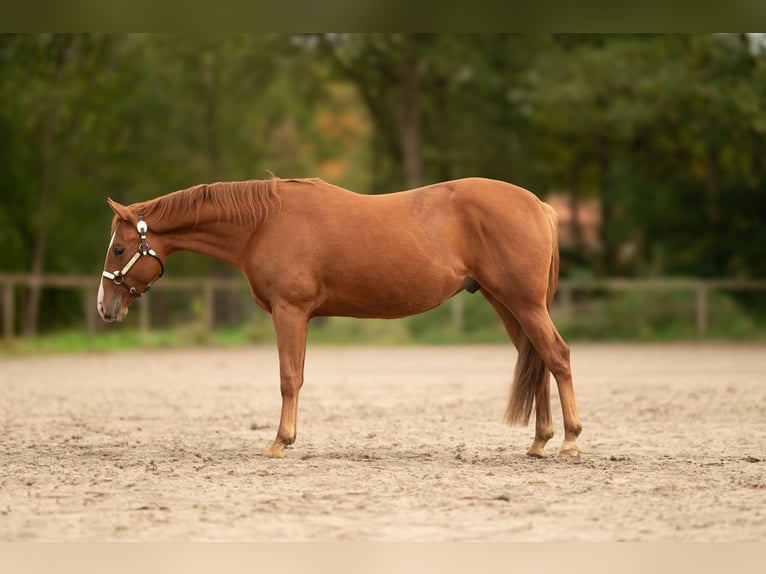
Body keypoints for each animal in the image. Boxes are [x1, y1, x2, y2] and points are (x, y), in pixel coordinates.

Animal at [99, 178, 584, 462]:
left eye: (119, 249)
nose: (106, 307)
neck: (264, 223)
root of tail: (539, 205)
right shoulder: (298, 315)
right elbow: (296, 376)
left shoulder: (290, 311)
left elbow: (289, 378)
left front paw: (280, 441)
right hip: (508, 303)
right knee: (537, 360)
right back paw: (539, 441)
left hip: (524, 303)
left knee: (557, 356)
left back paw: (570, 440)